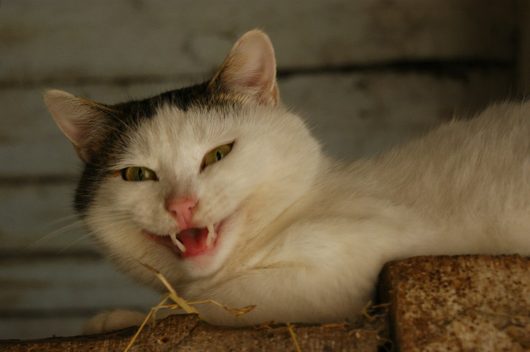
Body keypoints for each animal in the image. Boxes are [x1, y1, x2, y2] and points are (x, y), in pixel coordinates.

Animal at [44, 29, 528, 332]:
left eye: (218, 154)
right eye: (138, 175)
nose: (181, 206)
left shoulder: (349, 266)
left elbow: (212, 303)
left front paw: (121, 318)